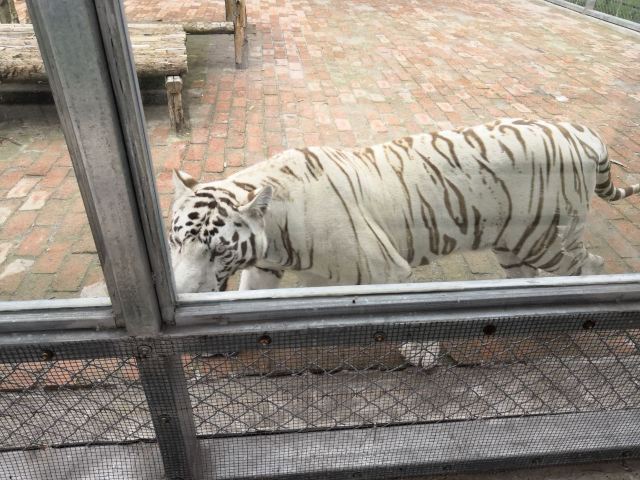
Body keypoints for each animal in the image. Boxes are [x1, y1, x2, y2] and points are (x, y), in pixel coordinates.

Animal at [170, 119, 640, 368]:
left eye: (217, 250)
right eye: (176, 242)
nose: (185, 291)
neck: (275, 233)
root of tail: (581, 130)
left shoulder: (383, 267)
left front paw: (423, 354)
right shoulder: (263, 268)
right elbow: (241, 301)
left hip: (545, 239)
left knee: (592, 266)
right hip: (514, 242)